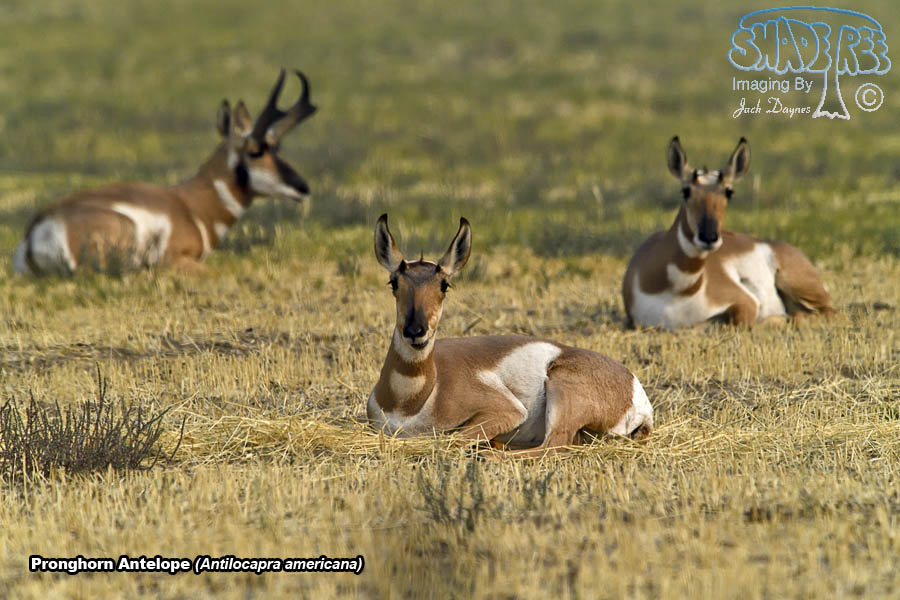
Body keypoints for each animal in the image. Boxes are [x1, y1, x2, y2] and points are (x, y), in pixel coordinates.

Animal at [12, 69, 316, 275]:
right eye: (255, 151)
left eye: (278, 147)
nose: (303, 187)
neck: (192, 205)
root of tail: (37, 227)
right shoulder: (178, 258)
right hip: (124, 228)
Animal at [367, 214, 653, 455]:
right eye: (394, 282)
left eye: (444, 285)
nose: (415, 331)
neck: (413, 400)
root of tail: (635, 389)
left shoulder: (507, 411)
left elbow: (455, 438)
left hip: (561, 390)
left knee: (553, 446)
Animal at [623, 137, 835, 329]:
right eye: (686, 191)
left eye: (729, 191)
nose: (709, 237)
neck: (678, 289)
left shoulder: (746, 302)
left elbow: (740, 322)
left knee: (828, 313)